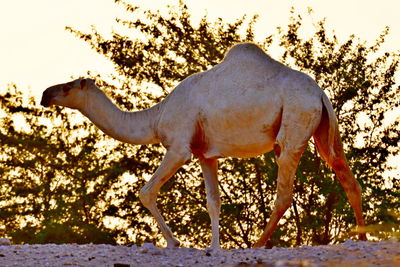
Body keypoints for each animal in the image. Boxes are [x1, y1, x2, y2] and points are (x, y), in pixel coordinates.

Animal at [39, 43, 366, 250]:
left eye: (66, 88)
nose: (44, 95)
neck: (156, 117)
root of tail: (320, 94)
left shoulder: (180, 146)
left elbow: (146, 191)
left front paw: (174, 242)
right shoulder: (205, 154)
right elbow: (213, 202)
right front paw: (214, 246)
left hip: (295, 122)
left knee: (284, 192)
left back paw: (257, 244)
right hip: (324, 129)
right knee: (345, 174)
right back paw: (363, 239)